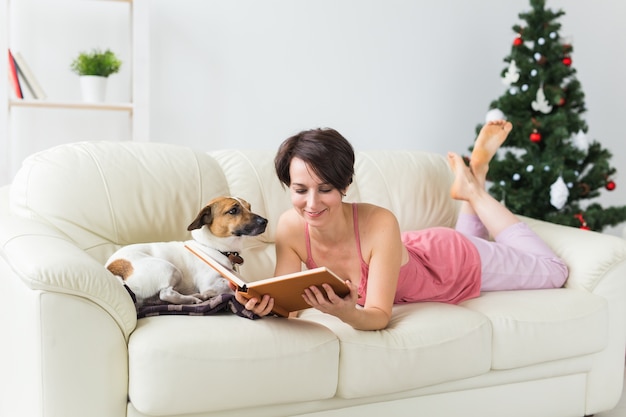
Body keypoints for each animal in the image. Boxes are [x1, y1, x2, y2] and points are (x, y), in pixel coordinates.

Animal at [105, 195, 266, 306]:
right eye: (233, 210)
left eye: (249, 207)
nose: (265, 221)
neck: (213, 247)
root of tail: (112, 268)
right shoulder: (209, 283)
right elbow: (228, 286)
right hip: (170, 269)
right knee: (166, 294)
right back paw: (194, 299)